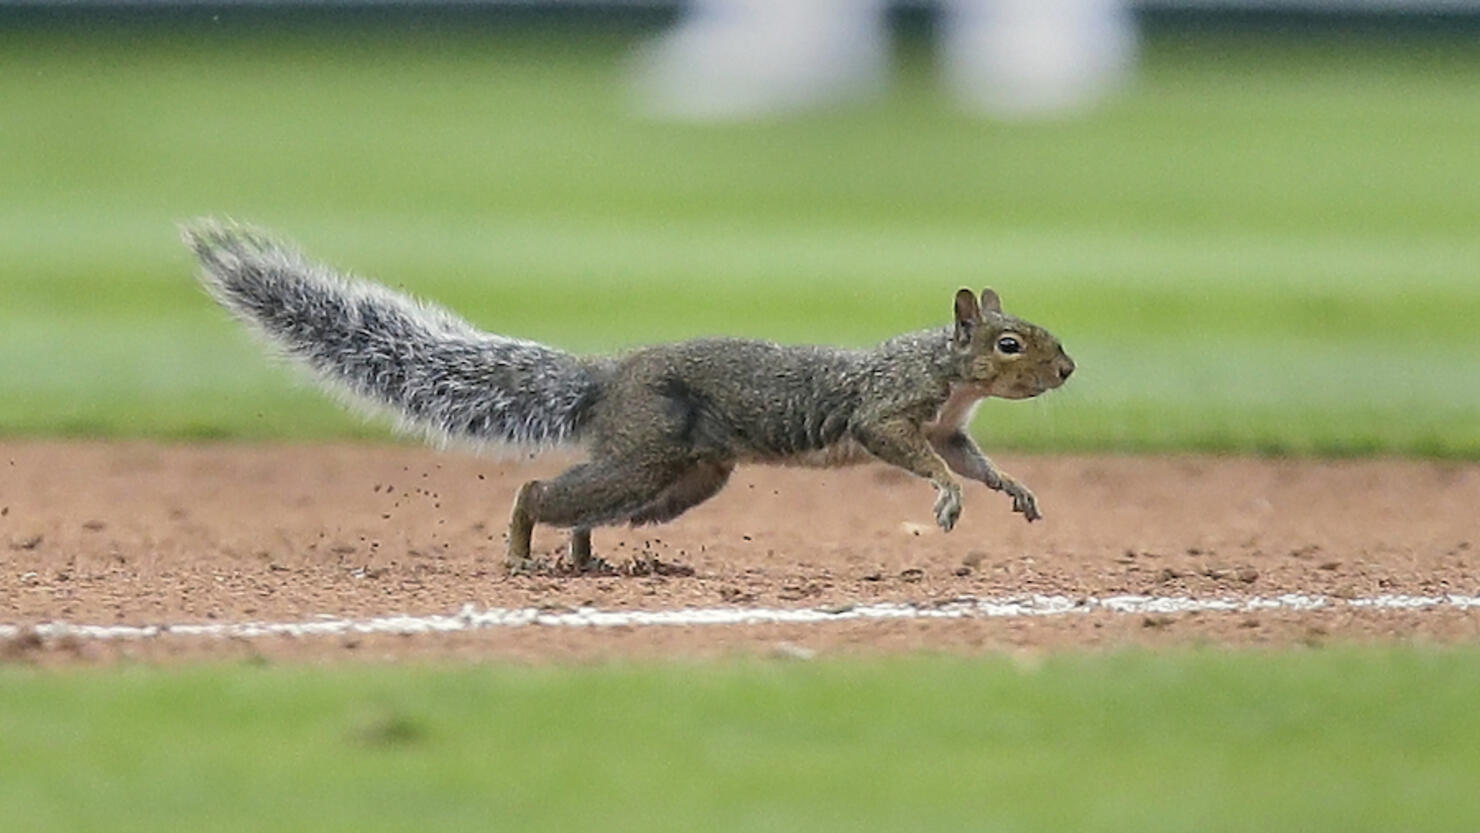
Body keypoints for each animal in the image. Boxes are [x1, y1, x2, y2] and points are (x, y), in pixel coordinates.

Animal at [190, 218, 1083, 577]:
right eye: (1009, 343)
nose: (1070, 368)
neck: (946, 371)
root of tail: (609, 377)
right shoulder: (885, 412)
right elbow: (919, 456)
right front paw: (944, 499)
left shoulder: (953, 426)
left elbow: (972, 459)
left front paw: (1013, 488)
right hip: (649, 455)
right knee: (539, 489)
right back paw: (523, 553)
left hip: (678, 479)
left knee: (583, 506)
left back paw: (586, 559)